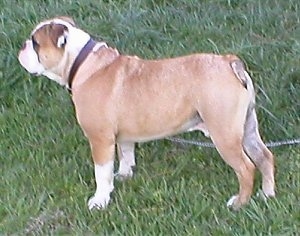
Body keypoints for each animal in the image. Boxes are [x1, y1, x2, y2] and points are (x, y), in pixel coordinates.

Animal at [18, 15, 274, 209]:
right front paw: (124, 175)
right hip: (247, 128)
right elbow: (125, 153)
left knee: (246, 168)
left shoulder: (100, 139)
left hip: (224, 135)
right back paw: (267, 194)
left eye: (35, 43)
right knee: (264, 156)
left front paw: (100, 201)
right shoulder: (121, 136)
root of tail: (229, 62)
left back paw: (239, 203)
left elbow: (102, 172)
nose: (22, 46)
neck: (82, 63)